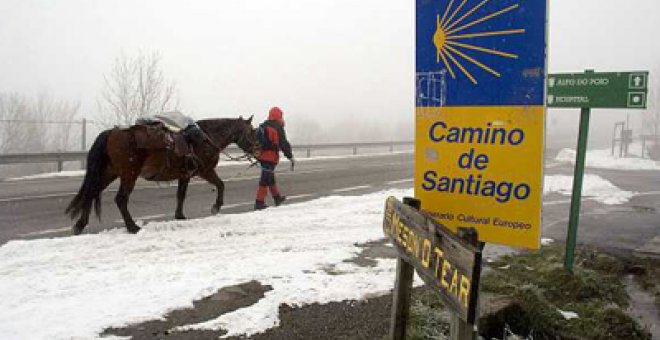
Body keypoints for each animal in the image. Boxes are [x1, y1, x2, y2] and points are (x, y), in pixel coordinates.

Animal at [65, 115, 260, 235]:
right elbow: (221, 184)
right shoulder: (205, 171)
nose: (258, 149)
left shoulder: (185, 176)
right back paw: (132, 227)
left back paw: (80, 225)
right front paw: (216, 207)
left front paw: (180, 215)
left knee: (91, 193)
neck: (206, 138)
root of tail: (111, 133)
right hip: (129, 174)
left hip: (109, 173)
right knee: (120, 199)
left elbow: (181, 195)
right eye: (251, 131)